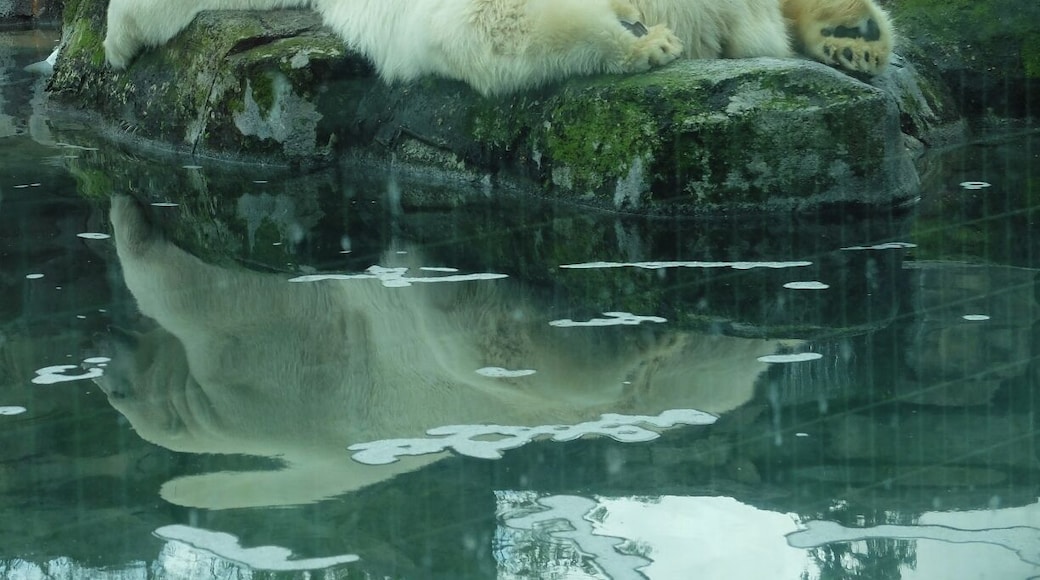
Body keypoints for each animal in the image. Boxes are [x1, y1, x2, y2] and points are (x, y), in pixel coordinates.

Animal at [98, 195, 794, 509]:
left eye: (117, 393)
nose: (106, 364)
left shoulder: (257, 371)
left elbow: (188, 288)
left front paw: (127, 215)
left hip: (512, 353)